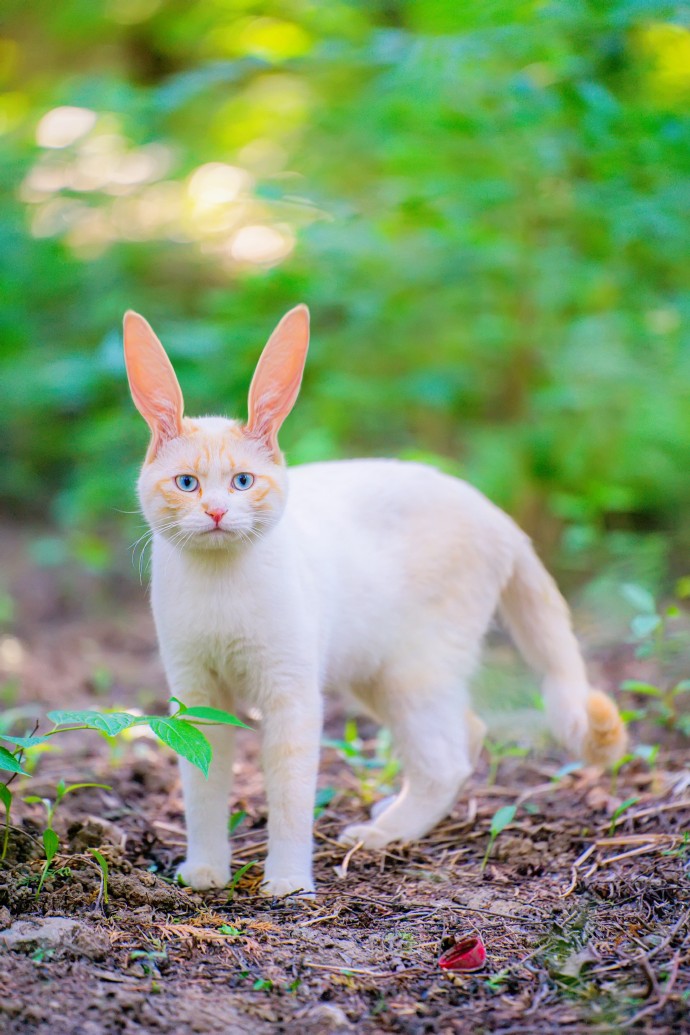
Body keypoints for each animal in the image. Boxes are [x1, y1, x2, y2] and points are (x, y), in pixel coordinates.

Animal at [122, 302, 624, 894]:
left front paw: (288, 882)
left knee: (446, 759)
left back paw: (384, 833)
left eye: (243, 482)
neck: (220, 585)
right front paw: (205, 870)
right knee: (467, 732)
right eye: (187, 484)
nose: (218, 512)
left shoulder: (292, 696)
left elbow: (289, 799)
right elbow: (202, 789)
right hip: (376, 675)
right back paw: (394, 816)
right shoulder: (196, 695)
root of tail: (497, 516)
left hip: (411, 672)